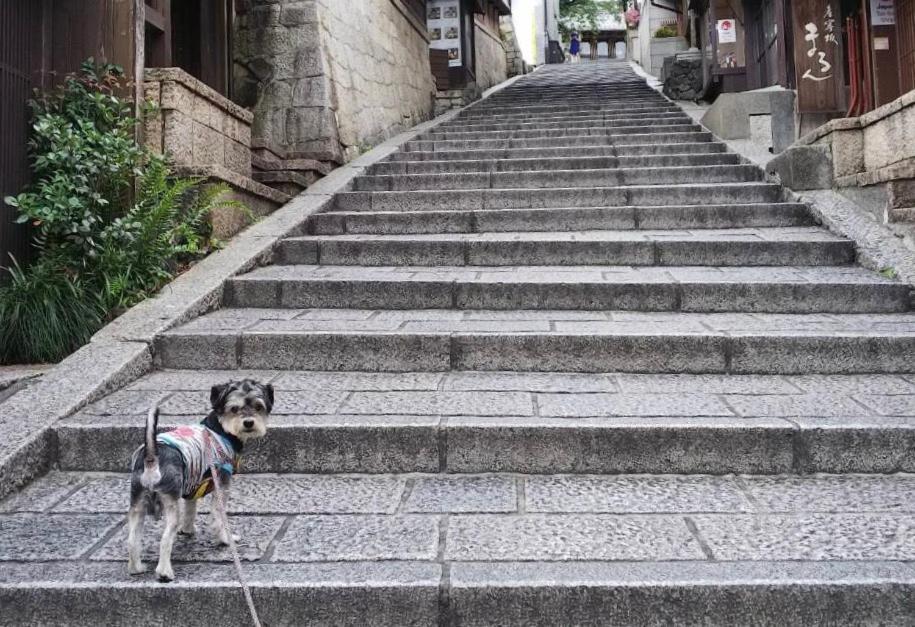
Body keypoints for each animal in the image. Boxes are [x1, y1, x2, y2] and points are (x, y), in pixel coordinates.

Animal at [127, 380, 274, 580]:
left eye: (258, 407)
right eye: (234, 408)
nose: (249, 422)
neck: (220, 430)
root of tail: (152, 459)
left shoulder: (192, 486)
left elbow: (191, 510)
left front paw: (188, 530)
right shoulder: (222, 485)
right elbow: (219, 517)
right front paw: (225, 540)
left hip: (138, 502)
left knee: (132, 539)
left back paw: (136, 568)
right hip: (169, 502)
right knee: (165, 539)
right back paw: (165, 573)